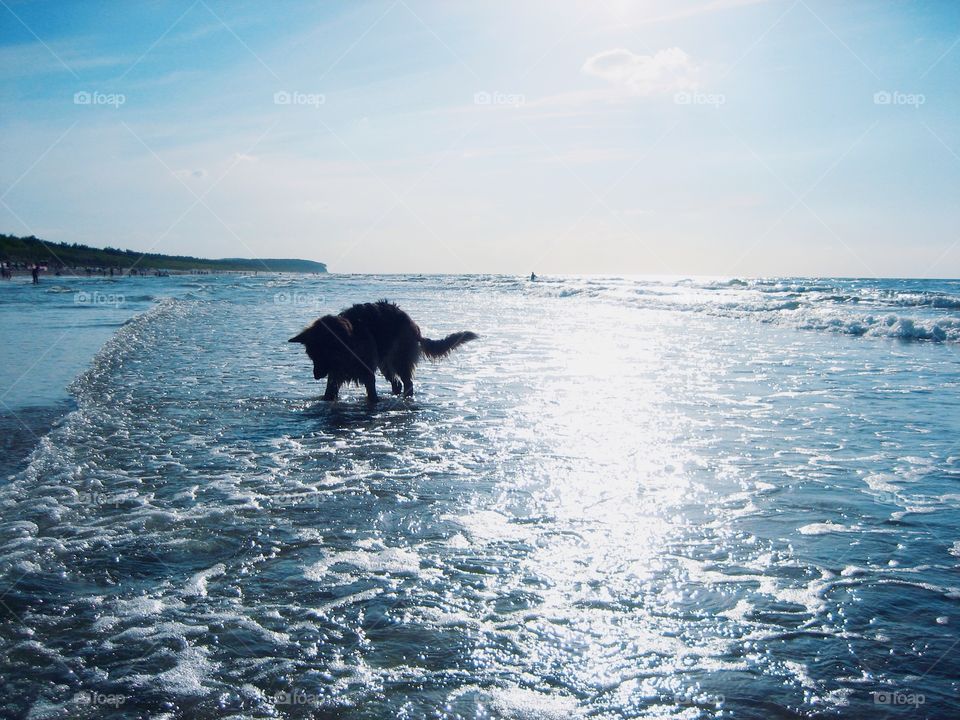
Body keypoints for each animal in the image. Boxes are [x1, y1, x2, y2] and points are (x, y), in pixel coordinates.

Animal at [286, 298, 478, 400]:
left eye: (324, 354)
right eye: (312, 356)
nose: (316, 376)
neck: (347, 346)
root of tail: (411, 322)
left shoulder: (366, 374)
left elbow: (372, 395)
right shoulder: (335, 376)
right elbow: (329, 394)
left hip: (398, 359)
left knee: (407, 383)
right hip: (385, 363)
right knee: (397, 383)